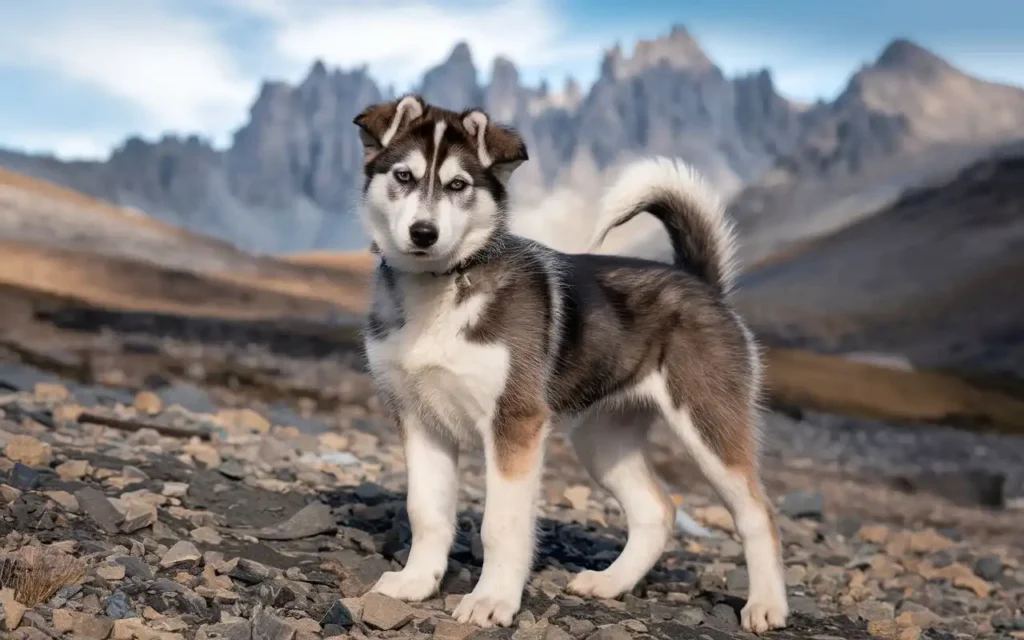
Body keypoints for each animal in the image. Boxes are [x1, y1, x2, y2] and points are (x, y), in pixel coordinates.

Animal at [348, 96, 786, 634]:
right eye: (404, 176)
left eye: (458, 185)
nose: (423, 233)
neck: (439, 290)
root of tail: (701, 282)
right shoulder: (419, 419)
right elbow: (426, 512)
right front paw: (416, 583)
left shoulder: (515, 423)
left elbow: (501, 526)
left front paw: (492, 599)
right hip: (602, 439)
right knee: (656, 510)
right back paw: (610, 583)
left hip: (709, 424)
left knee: (757, 515)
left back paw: (767, 605)